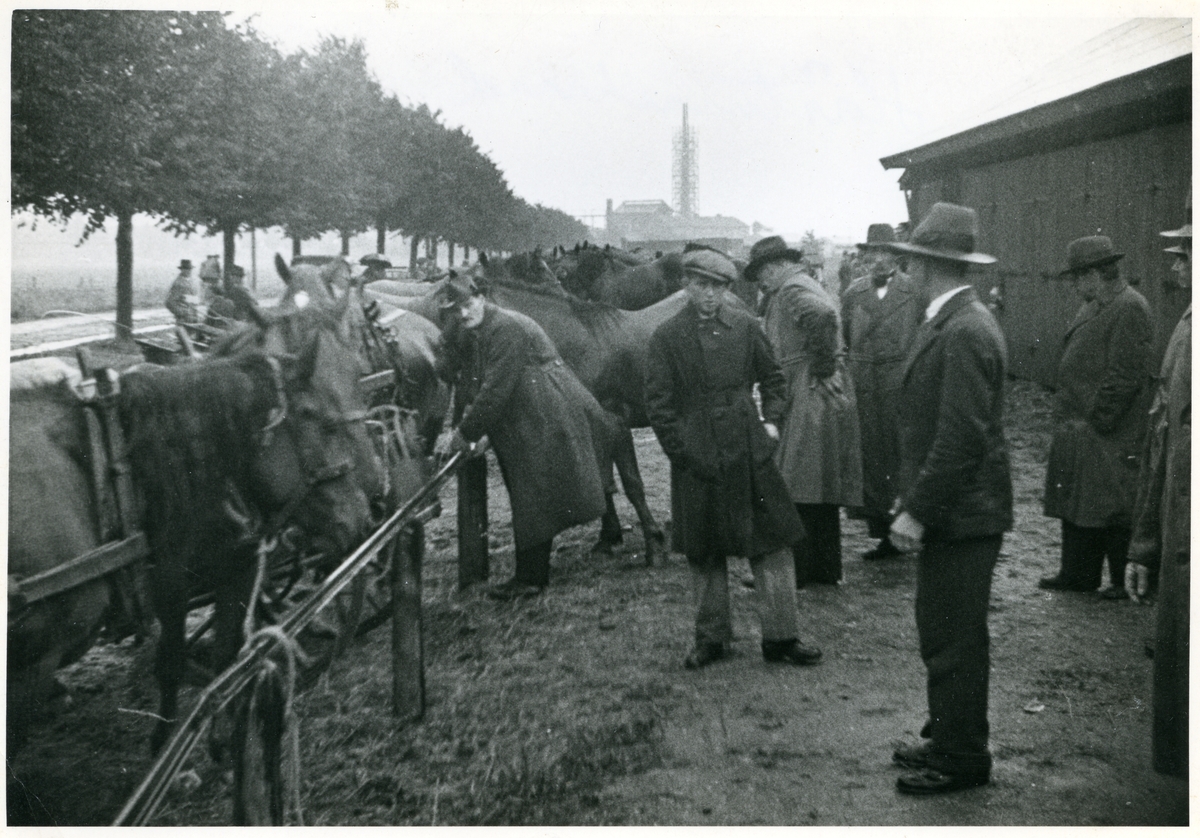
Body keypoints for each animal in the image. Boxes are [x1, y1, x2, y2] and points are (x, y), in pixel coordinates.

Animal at [120, 293, 387, 752]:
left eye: (357, 368)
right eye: (309, 409)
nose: (370, 485)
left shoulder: (246, 562)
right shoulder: (171, 581)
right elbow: (173, 657)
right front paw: (166, 739)